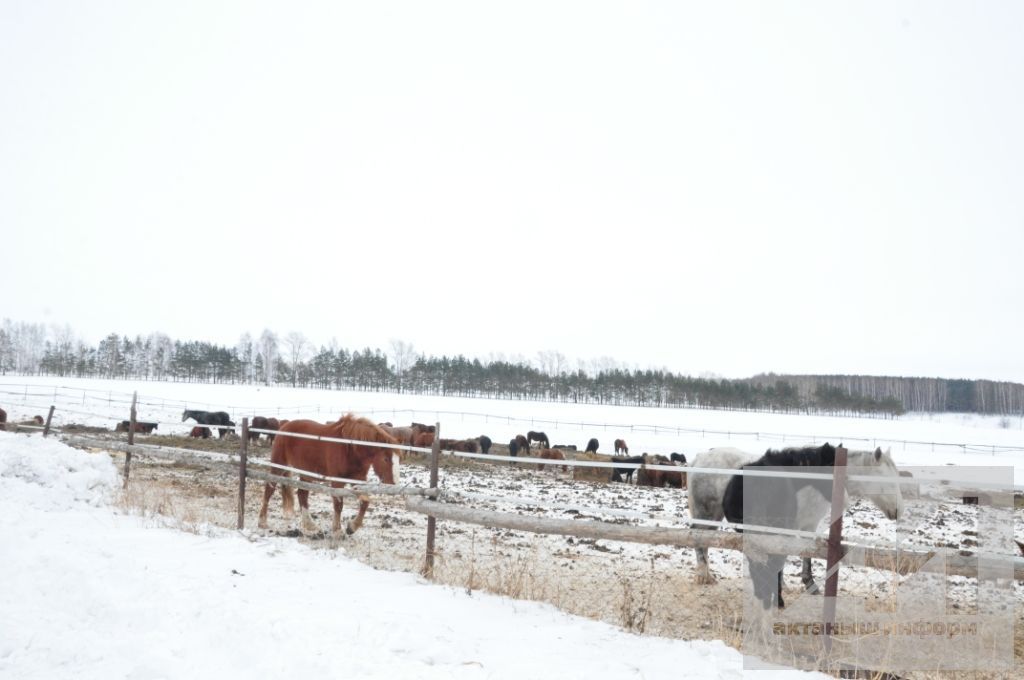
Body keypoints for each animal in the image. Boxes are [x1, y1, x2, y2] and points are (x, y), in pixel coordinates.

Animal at [256, 413, 399, 536]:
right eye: (386, 459)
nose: (393, 484)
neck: (349, 448)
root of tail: (284, 426)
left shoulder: (358, 479)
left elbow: (365, 502)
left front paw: (351, 527)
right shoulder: (337, 482)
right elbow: (338, 505)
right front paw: (338, 530)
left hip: (306, 474)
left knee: (302, 495)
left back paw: (310, 525)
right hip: (278, 466)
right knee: (269, 490)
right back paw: (262, 521)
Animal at [688, 444, 905, 606]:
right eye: (888, 482)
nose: (899, 510)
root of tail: (699, 458)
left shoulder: (804, 526)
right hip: (706, 514)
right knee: (698, 539)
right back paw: (704, 575)